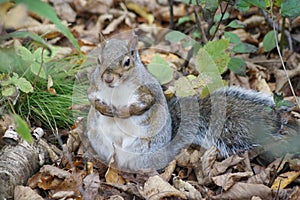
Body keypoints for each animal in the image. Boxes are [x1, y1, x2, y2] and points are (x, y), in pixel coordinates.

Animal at [85, 35, 298, 171]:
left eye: (127, 62)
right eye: (98, 60)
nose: (108, 79)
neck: (115, 90)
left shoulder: (147, 91)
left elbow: (145, 104)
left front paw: (122, 112)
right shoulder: (94, 88)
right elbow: (92, 99)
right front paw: (103, 108)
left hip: (142, 151)